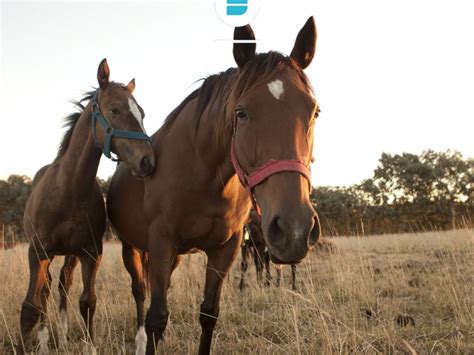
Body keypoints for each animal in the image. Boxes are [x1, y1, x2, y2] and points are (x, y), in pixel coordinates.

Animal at [17, 59, 155, 354]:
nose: (148, 162)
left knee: (62, 284)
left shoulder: (91, 252)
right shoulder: (37, 252)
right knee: (45, 291)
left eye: (142, 113)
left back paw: (62, 334)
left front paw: (88, 346)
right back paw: (45, 340)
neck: (68, 191)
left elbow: (88, 301)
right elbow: (31, 306)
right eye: (114, 110)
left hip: (70, 255)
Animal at [108, 18, 322, 354]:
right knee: (141, 294)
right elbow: (157, 316)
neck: (203, 176)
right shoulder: (161, 242)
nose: (294, 230)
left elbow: (209, 313)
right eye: (241, 112)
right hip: (133, 248)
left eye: (314, 112)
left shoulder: (226, 248)